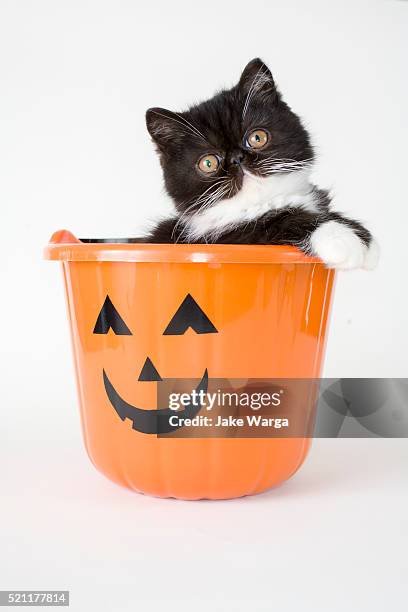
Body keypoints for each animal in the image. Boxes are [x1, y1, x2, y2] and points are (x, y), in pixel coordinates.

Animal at [143, 58, 380, 268]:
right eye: (208, 163)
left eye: (257, 138)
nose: (237, 159)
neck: (263, 203)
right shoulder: (224, 239)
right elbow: (272, 223)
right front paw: (341, 238)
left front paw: (365, 239)